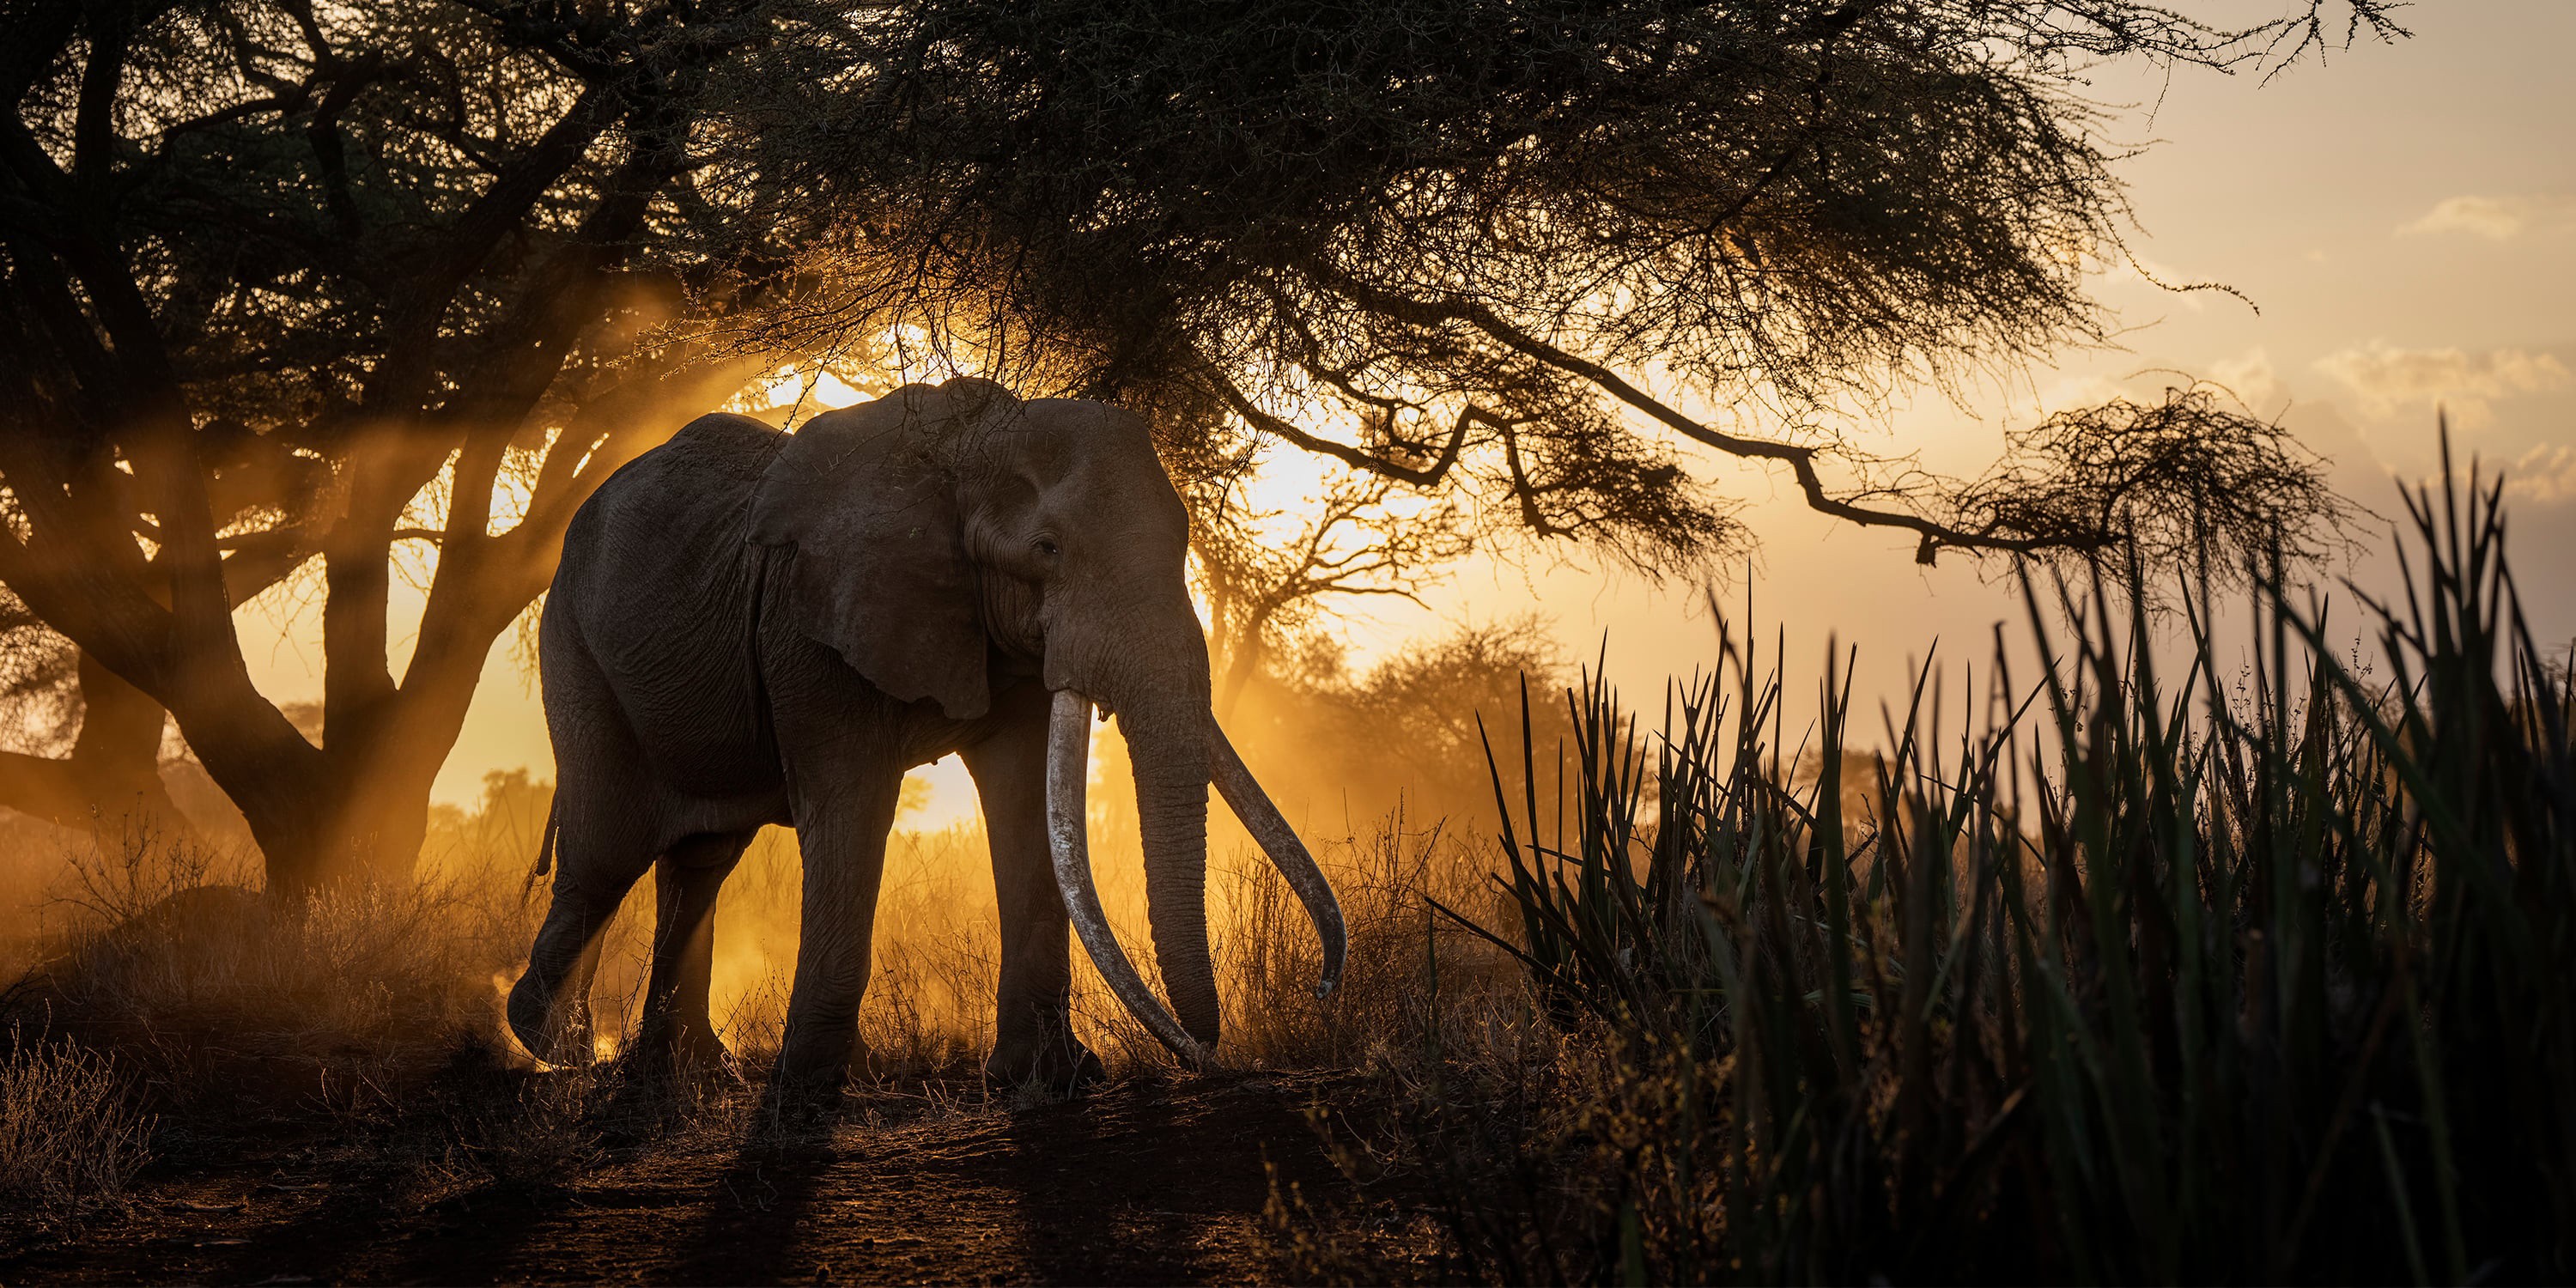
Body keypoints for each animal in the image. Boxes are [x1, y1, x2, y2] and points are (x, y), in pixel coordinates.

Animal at [505, 378, 1344, 1091]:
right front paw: (814, 1091)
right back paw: (561, 1047)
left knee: (700, 860)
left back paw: (689, 1071)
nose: (1321, 986)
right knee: (607, 852)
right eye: (1047, 549)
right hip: (575, 649)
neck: (966, 451)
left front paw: (1052, 1078)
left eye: (1184, 541)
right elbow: (852, 811)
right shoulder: (809, 625)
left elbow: (1023, 807)